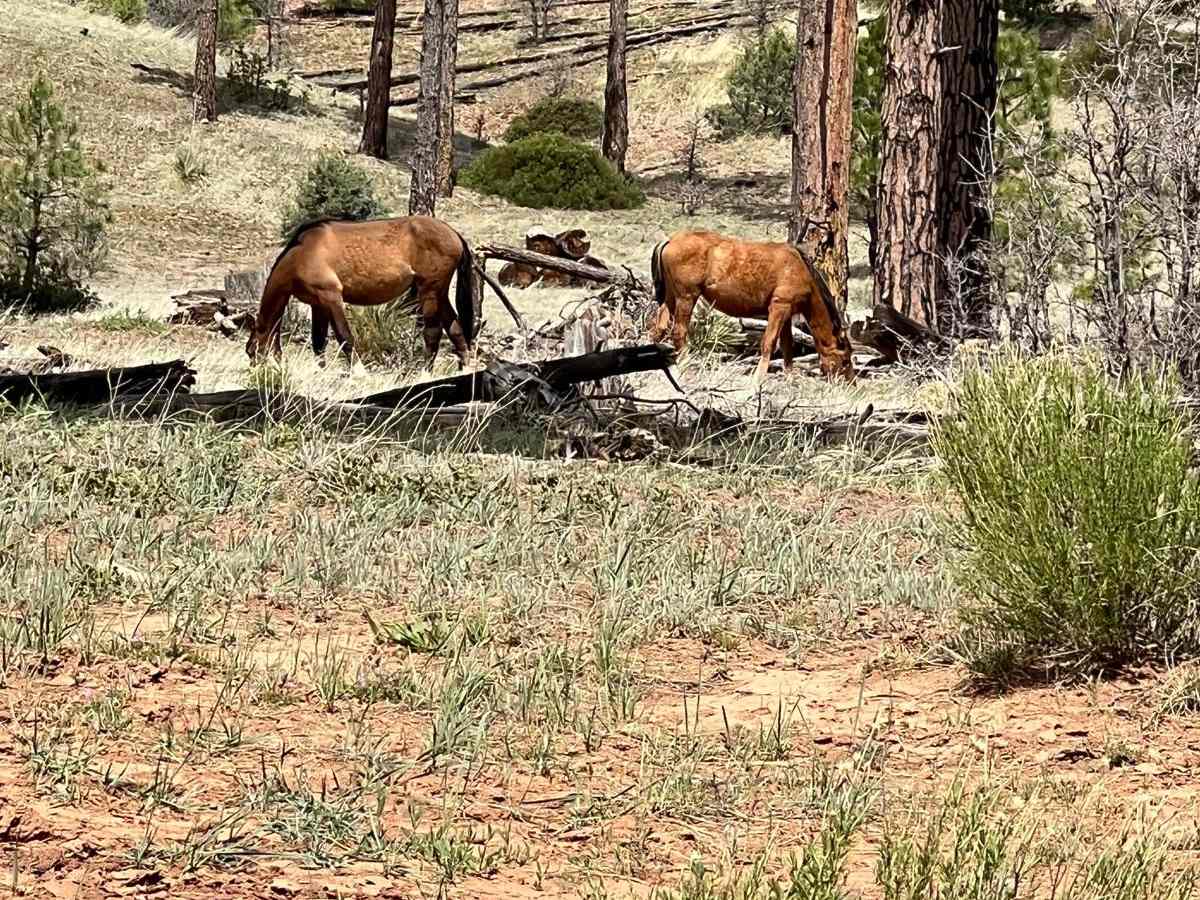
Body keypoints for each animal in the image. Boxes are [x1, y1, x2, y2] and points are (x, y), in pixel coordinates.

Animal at [245, 216, 476, 367]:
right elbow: (318, 342)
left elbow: (344, 337)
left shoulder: (331, 297)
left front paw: (357, 372)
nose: (257, 374)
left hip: (429, 290)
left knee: (432, 332)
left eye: (251, 351)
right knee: (455, 328)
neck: (302, 254)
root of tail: (454, 234)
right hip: (439, 292)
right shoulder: (318, 304)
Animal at [648, 230, 855, 382]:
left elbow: (787, 345)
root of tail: (670, 239)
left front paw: (789, 375)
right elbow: (769, 343)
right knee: (679, 332)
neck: (799, 269)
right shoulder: (778, 308)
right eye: (845, 359)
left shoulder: (786, 313)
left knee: (658, 328)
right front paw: (758, 378)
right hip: (686, 297)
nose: (851, 383)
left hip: (671, 298)